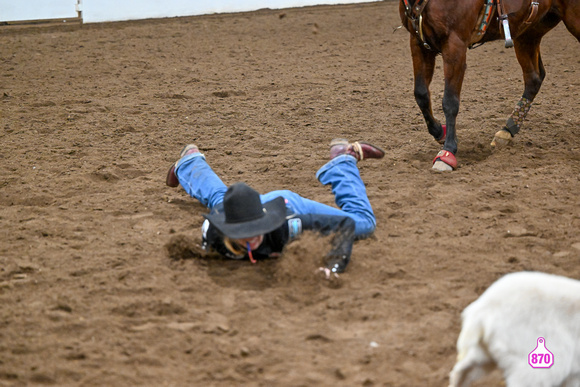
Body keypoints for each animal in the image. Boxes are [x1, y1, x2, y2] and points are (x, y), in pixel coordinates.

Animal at [402, 0, 576, 171]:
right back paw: (507, 130)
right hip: (529, 31)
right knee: (534, 77)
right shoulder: (417, 41)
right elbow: (421, 94)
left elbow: (450, 102)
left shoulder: (455, 45)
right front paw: (439, 132)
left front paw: (447, 153)